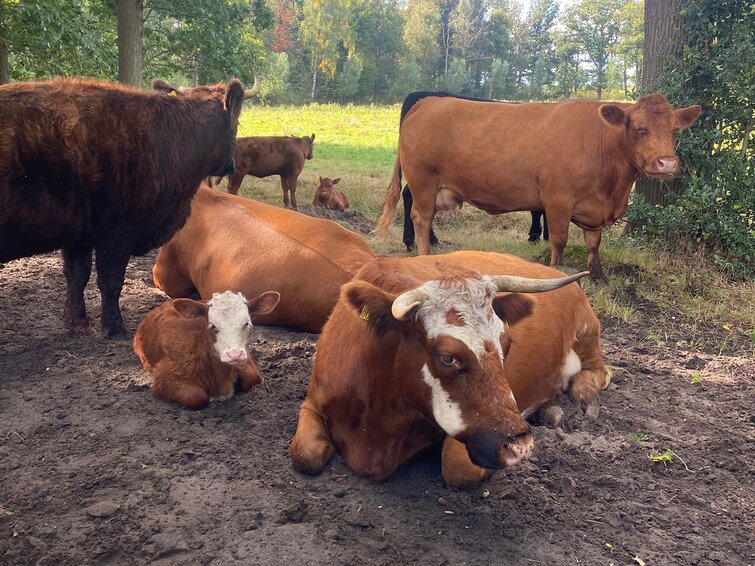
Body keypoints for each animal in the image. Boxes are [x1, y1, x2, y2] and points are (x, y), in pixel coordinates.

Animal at [0, 77, 256, 337]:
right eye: (236, 123)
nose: (230, 165)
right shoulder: (118, 231)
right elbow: (110, 280)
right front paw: (114, 327)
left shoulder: (80, 234)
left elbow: (77, 276)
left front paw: (78, 323)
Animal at [133, 290, 280, 410]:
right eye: (213, 326)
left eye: (246, 323)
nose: (234, 355)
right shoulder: (163, 378)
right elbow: (196, 396)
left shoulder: (246, 361)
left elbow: (253, 379)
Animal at [290, 251, 612, 488]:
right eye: (448, 358)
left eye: (506, 344)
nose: (519, 444)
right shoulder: (313, 402)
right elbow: (304, 456)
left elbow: (457, 469)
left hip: (588, 333)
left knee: (601, 371)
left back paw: (582, 397)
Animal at [378, 92, 701, 280]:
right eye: (640, 129)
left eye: (675, 130)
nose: (667, 163)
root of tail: (429, 100)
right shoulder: (558, 201)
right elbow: (559, 241)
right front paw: (556, 273)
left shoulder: (594, 209)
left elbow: (593, 243)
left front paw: (598, 276)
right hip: (423, 180)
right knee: (421, 217)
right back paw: (423, 255)